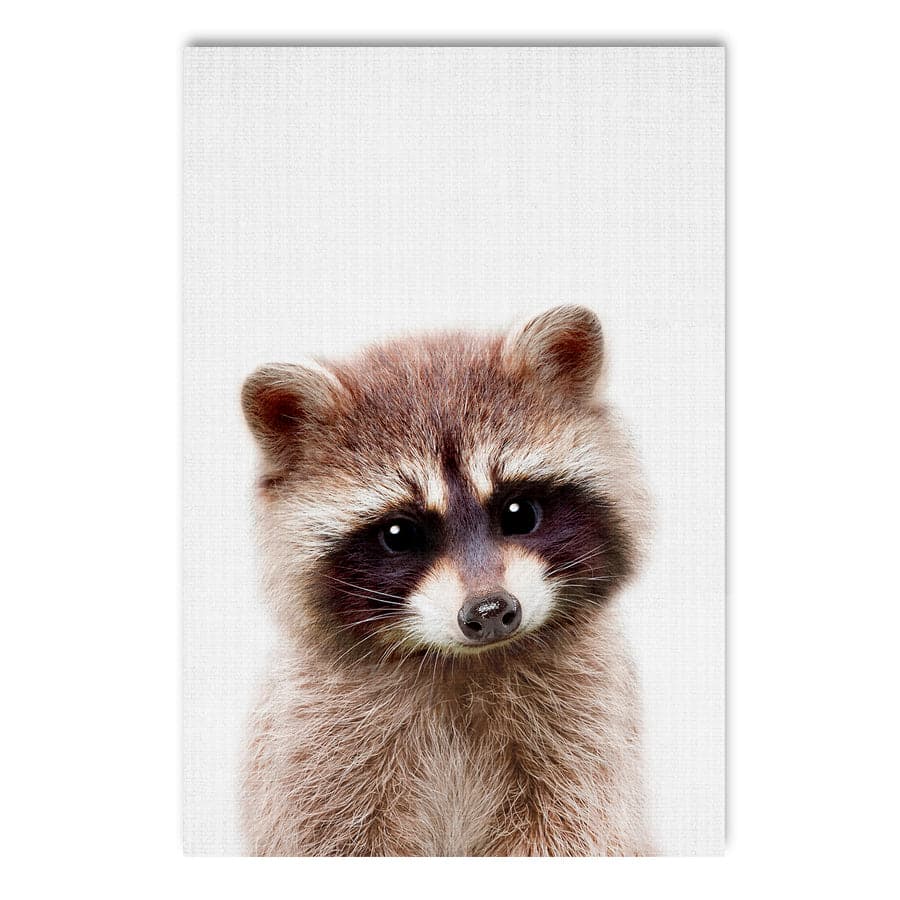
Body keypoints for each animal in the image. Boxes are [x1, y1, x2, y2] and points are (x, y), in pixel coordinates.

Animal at [240, 305, 653, 856]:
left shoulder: (586, 730)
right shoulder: (314, 748)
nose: (490, 611)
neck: (462, 663)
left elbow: (576, 827)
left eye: (519, 512)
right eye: (399, 534)